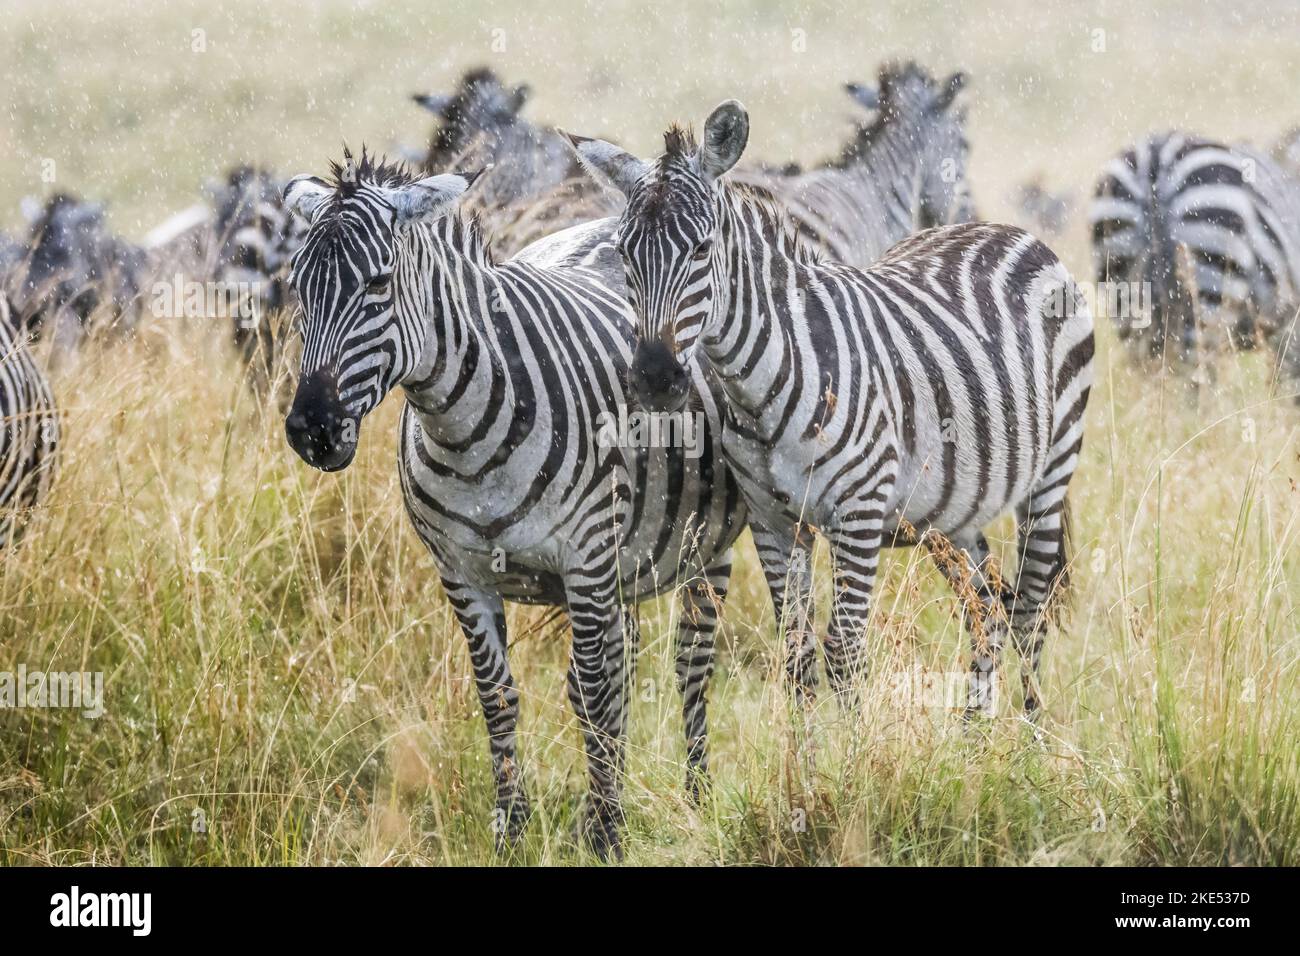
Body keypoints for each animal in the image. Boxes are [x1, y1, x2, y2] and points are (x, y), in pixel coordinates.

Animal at [282, 151, 754, 858]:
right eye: (298, 288)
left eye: (378, 284)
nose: (311, 429)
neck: (462, 432)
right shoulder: (461, 574)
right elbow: (499, 695)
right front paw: (512, 829)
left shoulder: (584, 560)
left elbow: (595, 693)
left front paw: (607, 834)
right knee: (624, 666)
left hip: (701, 547)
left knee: (689, 666)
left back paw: (693, 799)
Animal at [574, 102, 1092, 717]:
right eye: (623, 254)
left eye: (701, 249)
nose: (654, 378)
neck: (762, 387)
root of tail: (1003, 229)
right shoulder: (775, 524)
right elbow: (796, 653)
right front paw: (808, 748)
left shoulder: (858, 515)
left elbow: (843, 651)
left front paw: (856, 746)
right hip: (955, 506)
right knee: (986, 606)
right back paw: (975, 735)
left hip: (1052, 471)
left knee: (1031, 609)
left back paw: (1032, 736)